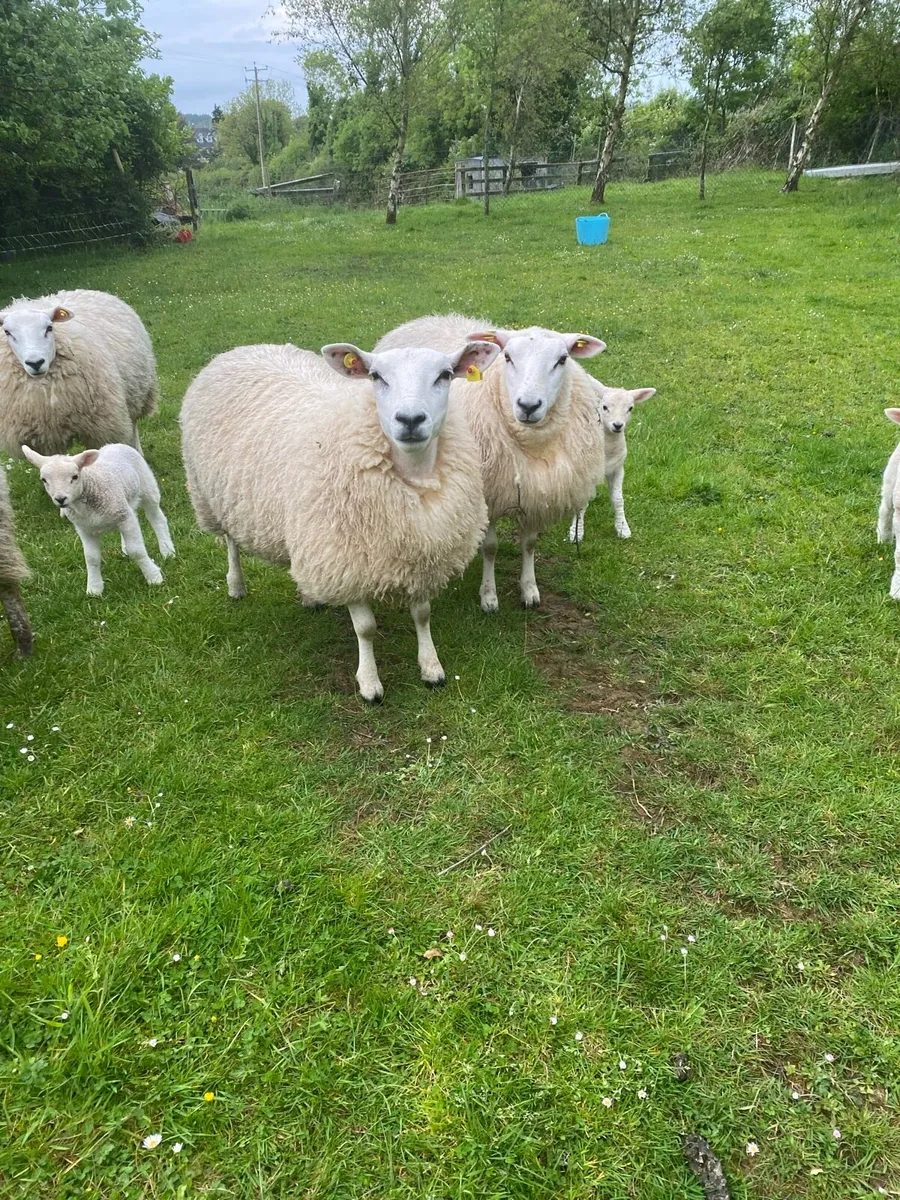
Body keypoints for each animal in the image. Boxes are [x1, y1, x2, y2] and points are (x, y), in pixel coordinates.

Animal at [0, 289, 158, 458]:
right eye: (7, 332)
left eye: (49, 328)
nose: (35, 363)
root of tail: (87, 291)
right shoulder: (44, 439)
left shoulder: (104, 427)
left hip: (140, 392)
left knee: (133, 424)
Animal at [21, 443, 174, 596]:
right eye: (44, 480)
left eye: (75, 477)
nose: (60, 499)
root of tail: (114, 444)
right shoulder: (85, 529)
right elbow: (91, 558)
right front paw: (94, 588)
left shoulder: (125, 517)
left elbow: (137, 551)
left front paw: (154, 577)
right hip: (125, 503)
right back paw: (126, 548)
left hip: (148, 487)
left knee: (157, 519)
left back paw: (167, 550)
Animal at [180, 338, 500, 703]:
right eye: (376, 376)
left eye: (445, 375)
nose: (410, 419)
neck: (414, 476)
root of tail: (240, 349)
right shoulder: (347, 559)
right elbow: (366, 628)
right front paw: (370, 683)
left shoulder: (421, 552)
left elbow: (422, 614)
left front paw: (431, 668)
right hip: (211, 494)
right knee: (231, 543)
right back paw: (236, 585)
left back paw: (309, 596)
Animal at [375, 314, 606, 612]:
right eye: (507, 357)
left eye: (562, 359)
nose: (528, 406)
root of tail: (426, 319)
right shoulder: (488, 494)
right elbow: (491, 547)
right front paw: (489, 596)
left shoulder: (535, 491)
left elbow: (529, 543)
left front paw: (529, 589)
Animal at [568, 381, 656, 543]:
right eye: (605, 407)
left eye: (630, 408)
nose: (617, 425)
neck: (607, 449)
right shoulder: (584, 471)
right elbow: (582, 503)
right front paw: (576, 532)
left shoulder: (618, 468)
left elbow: (618, 499)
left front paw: (623, 528)